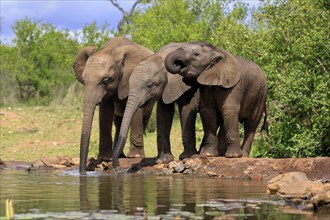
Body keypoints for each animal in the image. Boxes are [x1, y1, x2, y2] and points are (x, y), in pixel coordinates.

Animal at [73, 36, 154, 171]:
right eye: (83, 80)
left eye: (105, 80)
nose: (85, 170)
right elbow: (105, 113)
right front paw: (105, 158)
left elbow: (137, 112)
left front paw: (134, 157)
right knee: (118, 122)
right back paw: (120, 155)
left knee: (144, 119)